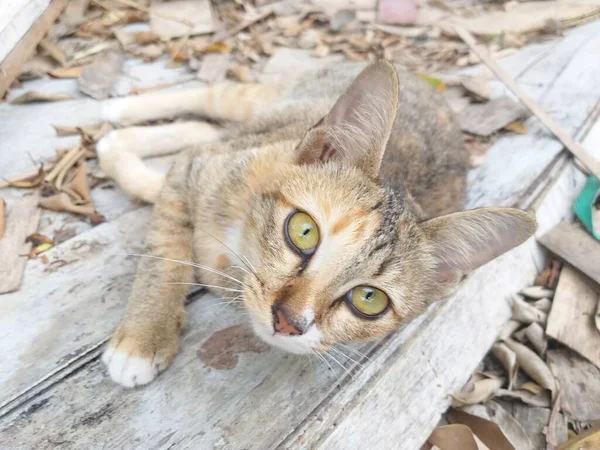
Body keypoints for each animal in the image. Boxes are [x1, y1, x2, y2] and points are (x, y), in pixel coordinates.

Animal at [96, 59, 536, 386]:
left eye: (369, 299)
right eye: (303, 230)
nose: (288, 322)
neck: (240, 245)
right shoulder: (200, 167)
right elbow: (164, 253)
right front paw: (144, 336)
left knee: (202, 125)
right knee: (212, 96)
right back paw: (110, 112)